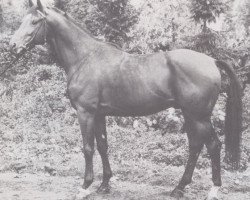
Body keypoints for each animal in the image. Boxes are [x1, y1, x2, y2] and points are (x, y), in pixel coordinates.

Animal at [10, 0, 242, 199]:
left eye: (35, 21)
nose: (12, 46)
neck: (85, 58)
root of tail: (211, 60)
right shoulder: (99, 114)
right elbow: (103, 146)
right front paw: (105, 184)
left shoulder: (86, 113)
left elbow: (88, 148)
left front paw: (85, 187)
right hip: (190, 115)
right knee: (196, 146)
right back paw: (179, 188)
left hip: (199, 116)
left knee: (212, 146)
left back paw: (211, 190)